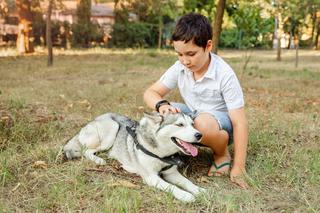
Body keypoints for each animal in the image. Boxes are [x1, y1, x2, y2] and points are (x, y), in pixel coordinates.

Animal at [63, 112, 205, 202]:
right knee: (86, 150)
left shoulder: (171, 173)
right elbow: (171, 187)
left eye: (193, 124)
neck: (161, 153)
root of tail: (95, 118)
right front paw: (185, 195)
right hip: (112, 128)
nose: (199, 135)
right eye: (180, 124)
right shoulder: (151, 177)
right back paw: (99, 159)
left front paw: (200, 190)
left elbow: (187, 182)